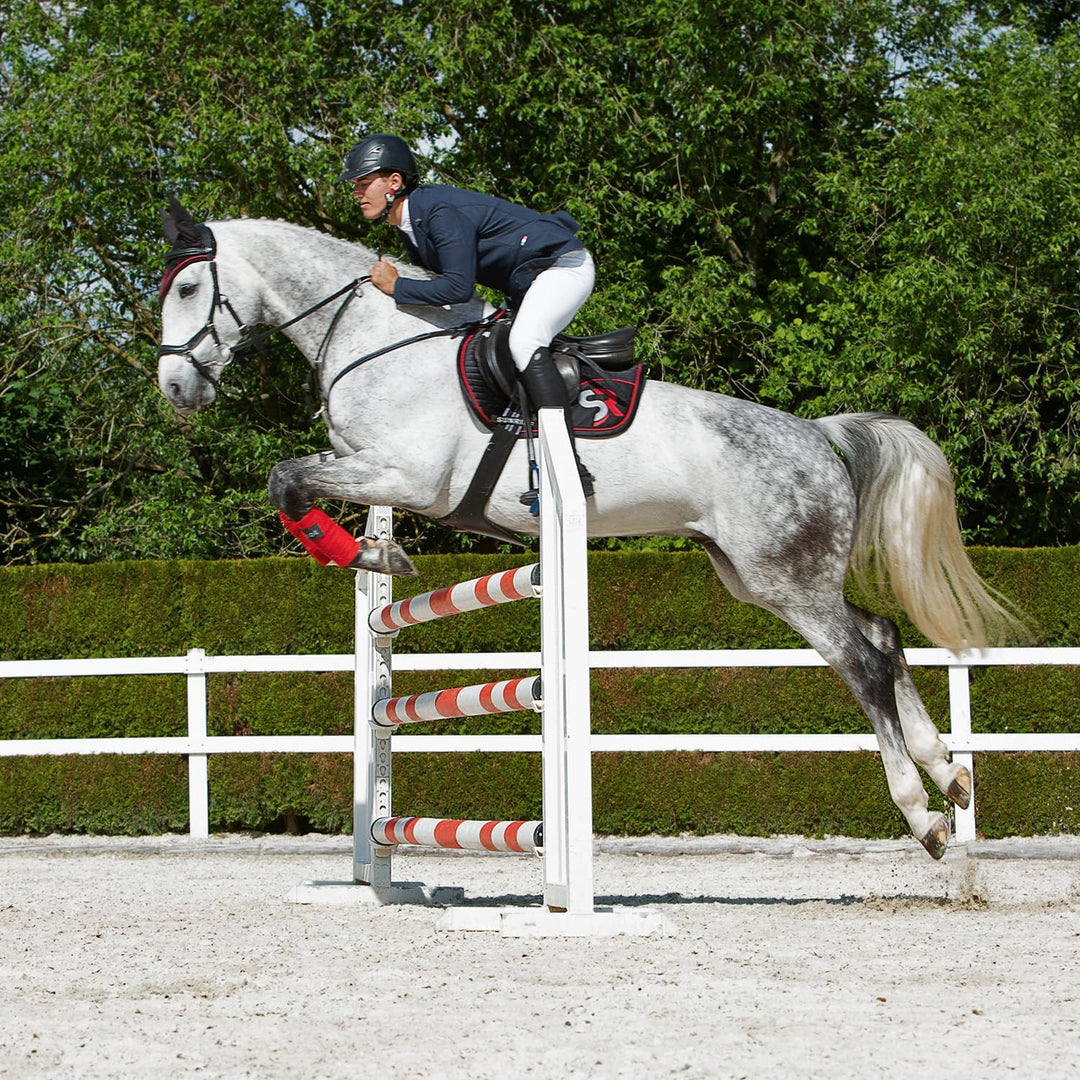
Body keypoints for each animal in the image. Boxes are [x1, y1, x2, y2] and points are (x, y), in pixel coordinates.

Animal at [156, 199, 1026, 859]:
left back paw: (923, 813)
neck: (373, 339)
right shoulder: (370, 469)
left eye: (191, 285)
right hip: (761, 576)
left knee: (864, 665)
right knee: (884, 635)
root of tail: (816, 434)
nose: (174, 388)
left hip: (788, 581)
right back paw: (950, 774)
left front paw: (374, 554)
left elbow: (286, 479)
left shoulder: (405, 476)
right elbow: (292, 481)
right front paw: (374, 553)